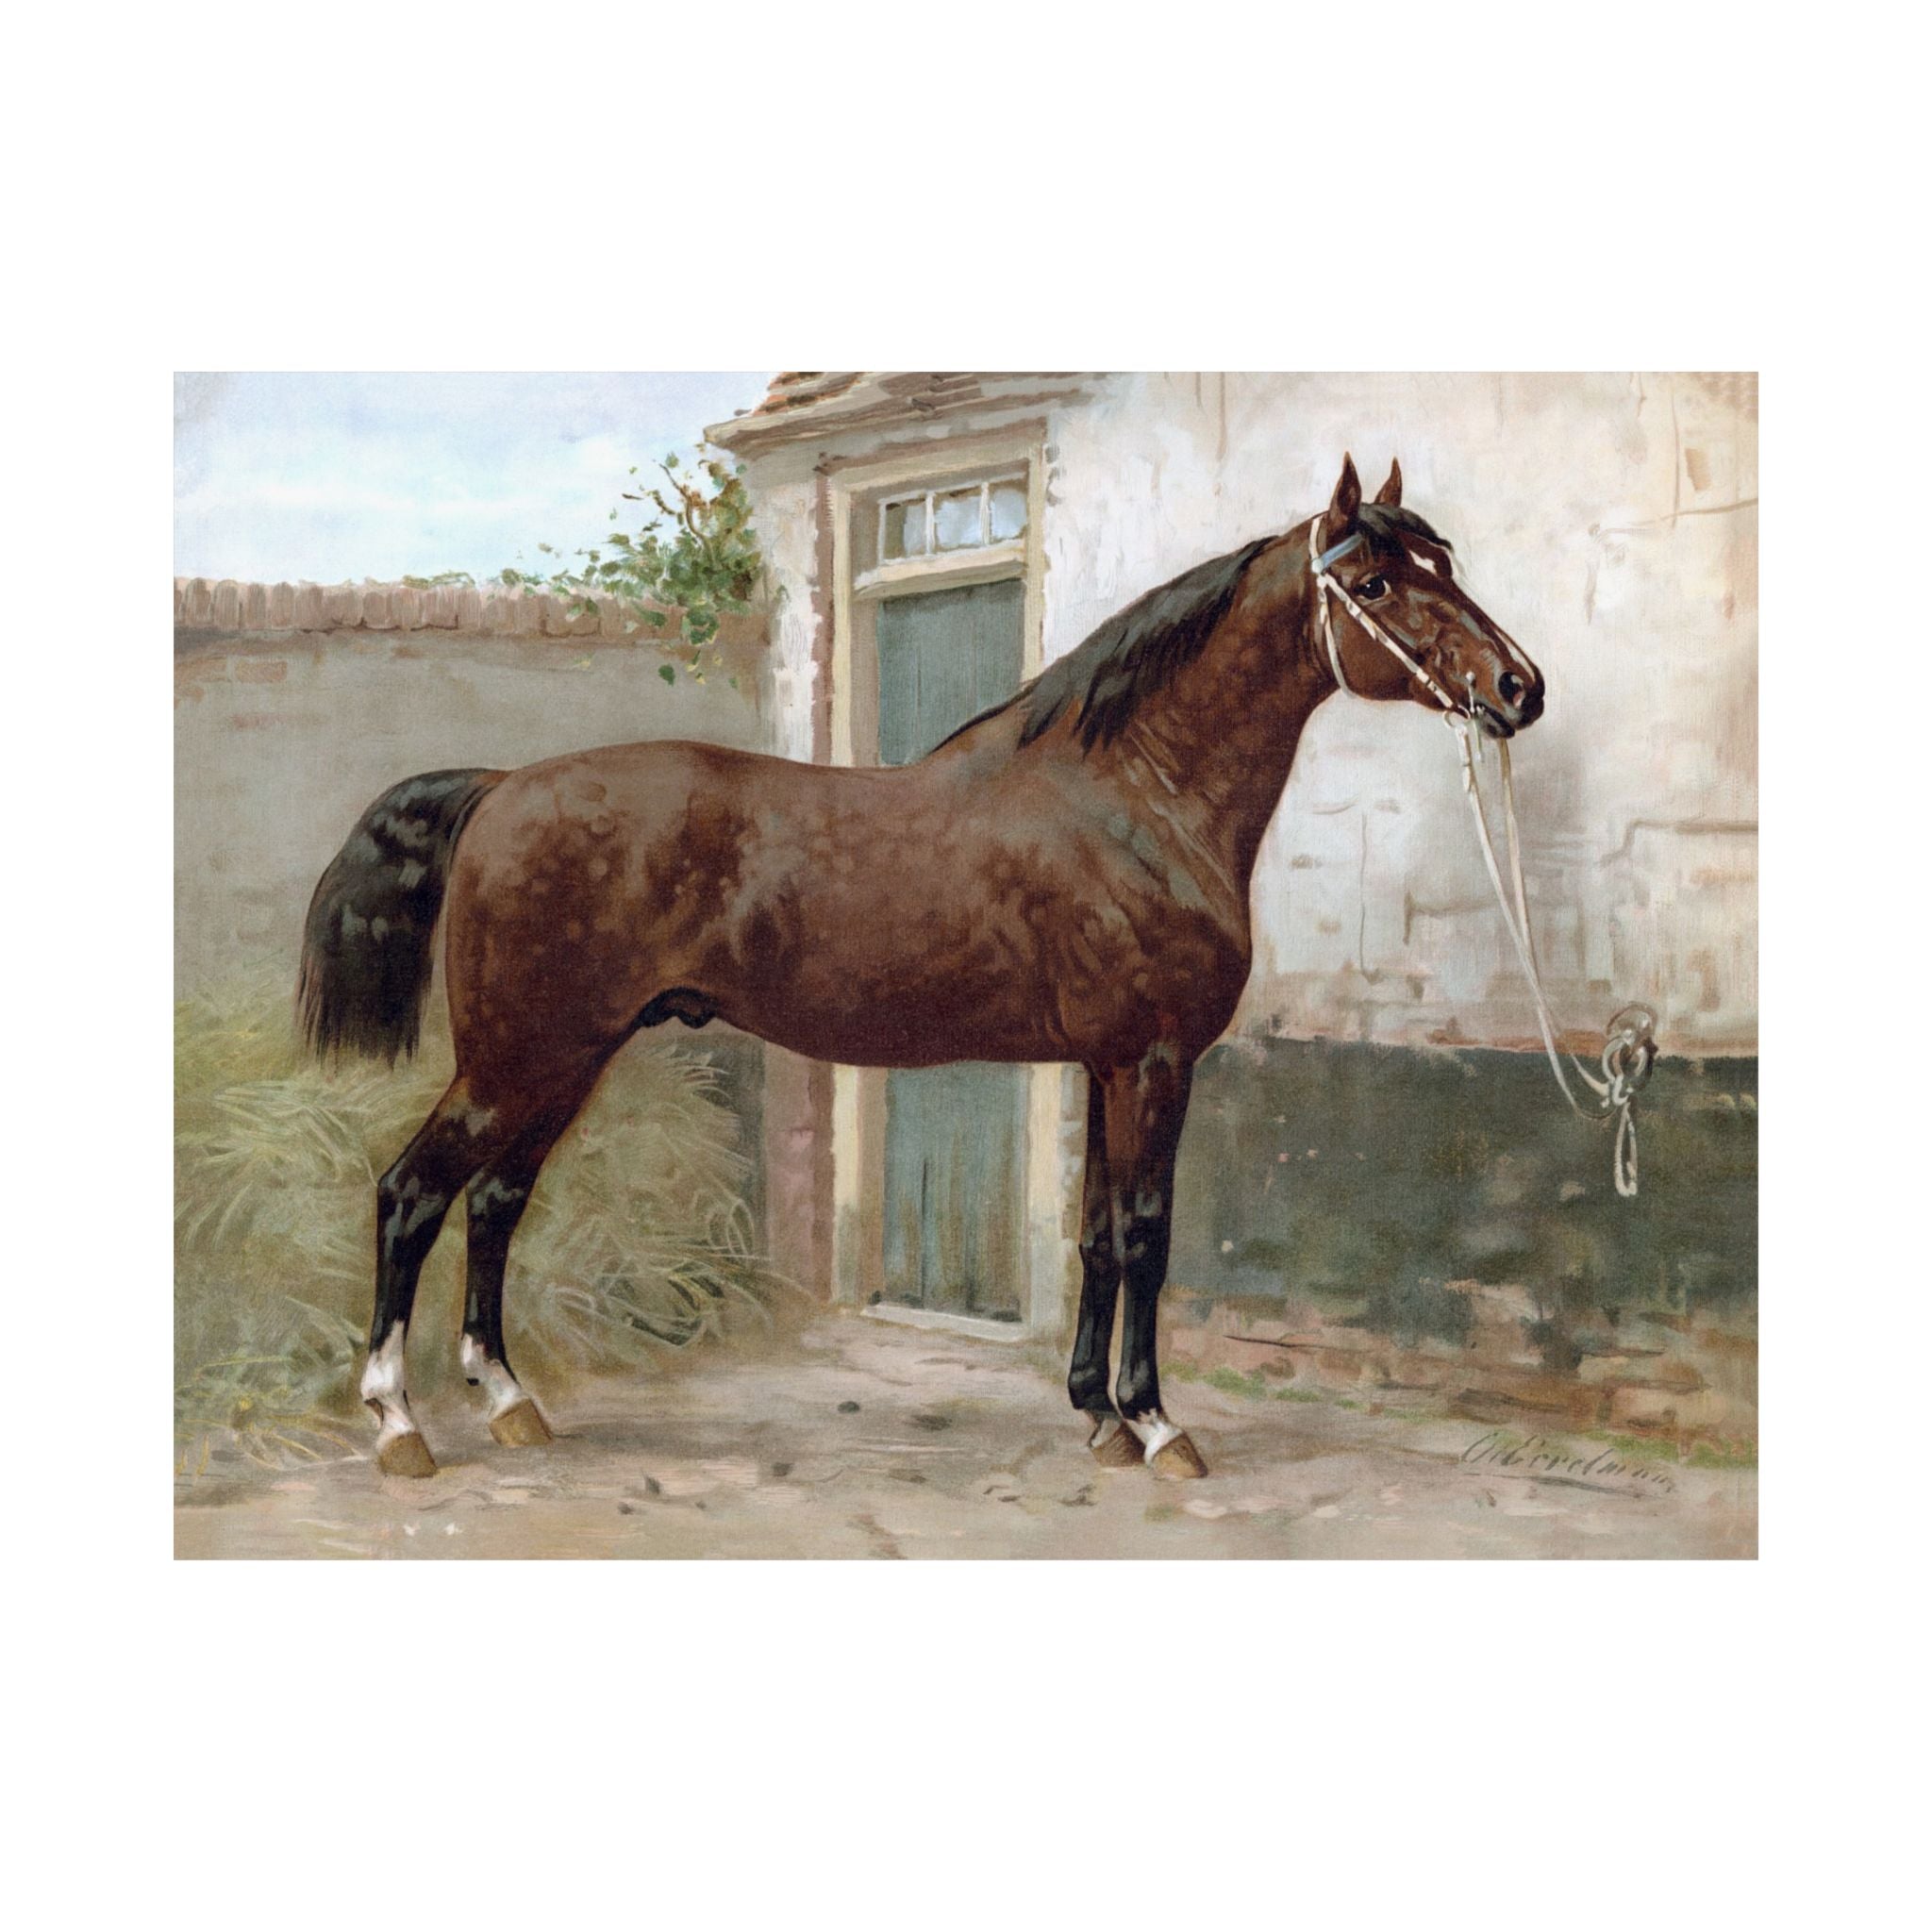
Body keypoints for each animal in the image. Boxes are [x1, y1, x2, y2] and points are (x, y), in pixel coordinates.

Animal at [298, 454, 1545, 1480]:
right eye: (1374, 585)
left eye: (1442, 562)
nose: (1517, 688)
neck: (1132, 796)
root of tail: (501, 787)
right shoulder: (1151, 1061)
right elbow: (1146, 1232)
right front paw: (1155, 1424)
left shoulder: (1102, 1063)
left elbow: (1095, 1233)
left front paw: (1094, 1412)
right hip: (520, 1055)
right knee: (413, 1192)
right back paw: (399, 1423)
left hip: (564, 1059)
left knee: (496, 1199)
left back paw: (511, 1401)